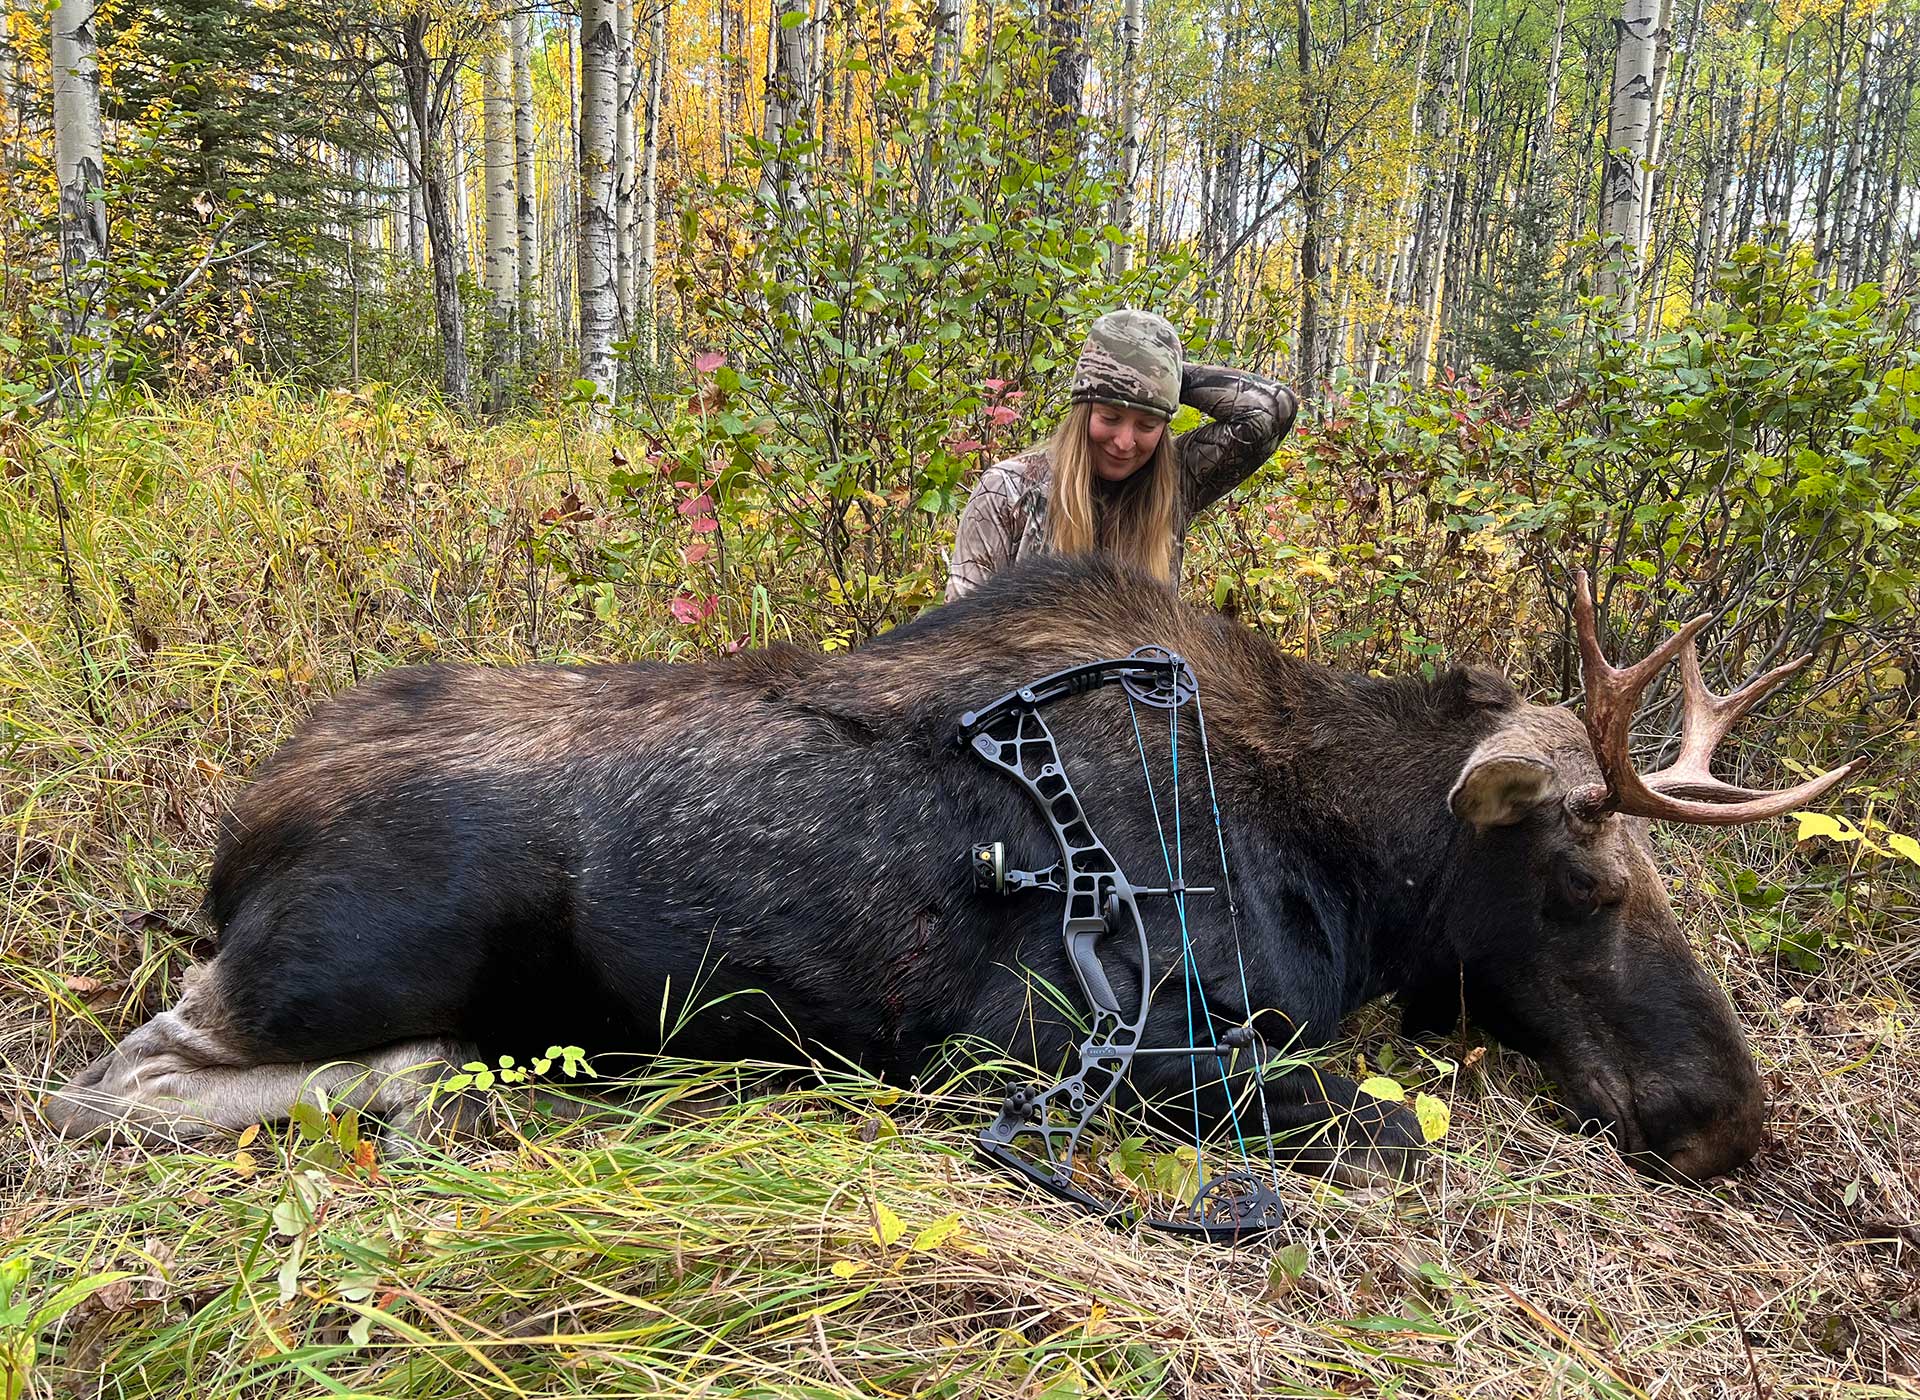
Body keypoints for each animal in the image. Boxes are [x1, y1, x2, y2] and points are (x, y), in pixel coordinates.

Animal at [45, 556, 1850, 1198]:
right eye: (1586, 887)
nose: (1726, 1119)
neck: (1351, 869)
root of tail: (242, 823)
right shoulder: (1038, 1047)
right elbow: (1367, 1122)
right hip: (342, 960)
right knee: (108, 1085)